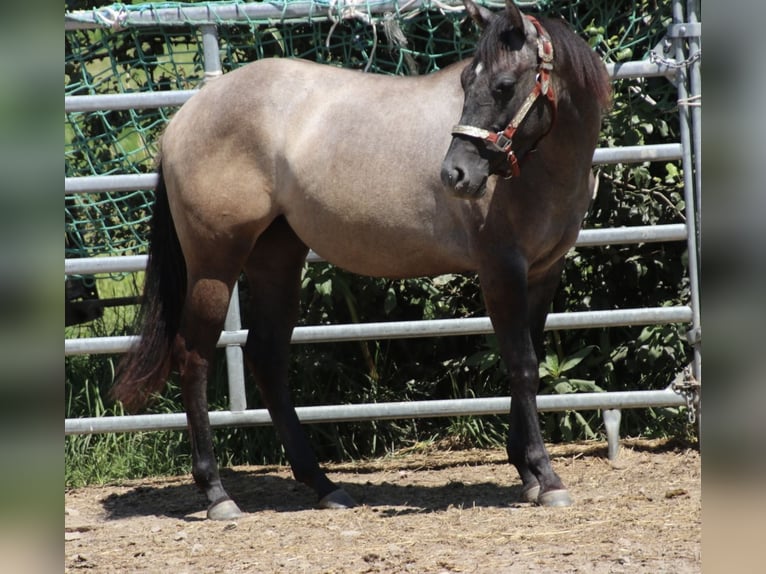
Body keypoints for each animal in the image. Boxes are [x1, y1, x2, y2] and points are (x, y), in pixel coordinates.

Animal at [112, 0, 612, 520]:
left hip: (276, 260)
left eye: (503, 85)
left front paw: (528, 474)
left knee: (266, 356)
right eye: (466, 83)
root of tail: (183, 119)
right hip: (214, 263)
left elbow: (526, 361)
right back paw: (217, 493)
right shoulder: (500, 271)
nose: (455, 173)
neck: (539, 172)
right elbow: (523, 366)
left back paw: (324, 486)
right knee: (193, 358)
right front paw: (545, 476)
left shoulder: (543, 272)